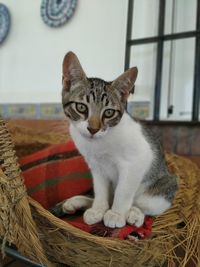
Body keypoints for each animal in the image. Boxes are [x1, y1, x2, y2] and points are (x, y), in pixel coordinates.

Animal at [60, 51, 177, 228]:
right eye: (81, 107)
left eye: (109, 113)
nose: (93, 129)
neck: (100, 142)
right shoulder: (96, 165)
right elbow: (100, 189)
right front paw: (98, 210)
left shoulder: (138, 160)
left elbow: (123, 191)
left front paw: (116, 214)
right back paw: (79, 202)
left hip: (165, 186)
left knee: (144, 204)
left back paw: (134, 213)